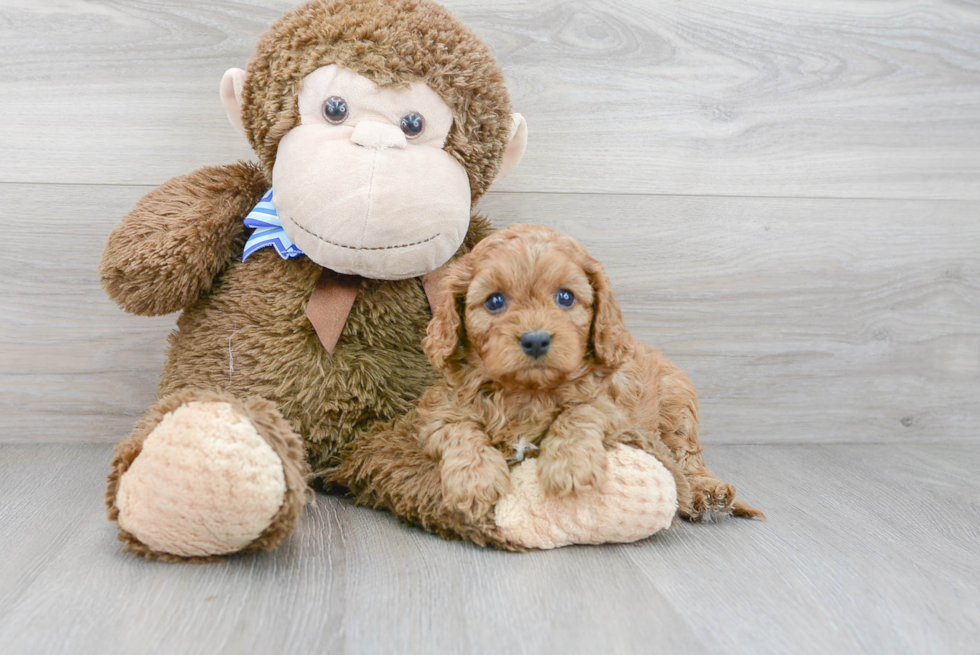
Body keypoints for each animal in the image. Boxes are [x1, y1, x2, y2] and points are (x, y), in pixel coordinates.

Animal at [418, 226, 760, 524]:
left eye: (565, 297)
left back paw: (708, 492)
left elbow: (580, 412)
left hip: (677, 402)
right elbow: (461, 429)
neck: (528, 390)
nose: (536, 340)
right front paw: (474, 481)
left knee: (687, 457)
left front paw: (569, 467)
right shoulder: (441, 407)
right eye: (495, 301)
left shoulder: (613, 408)